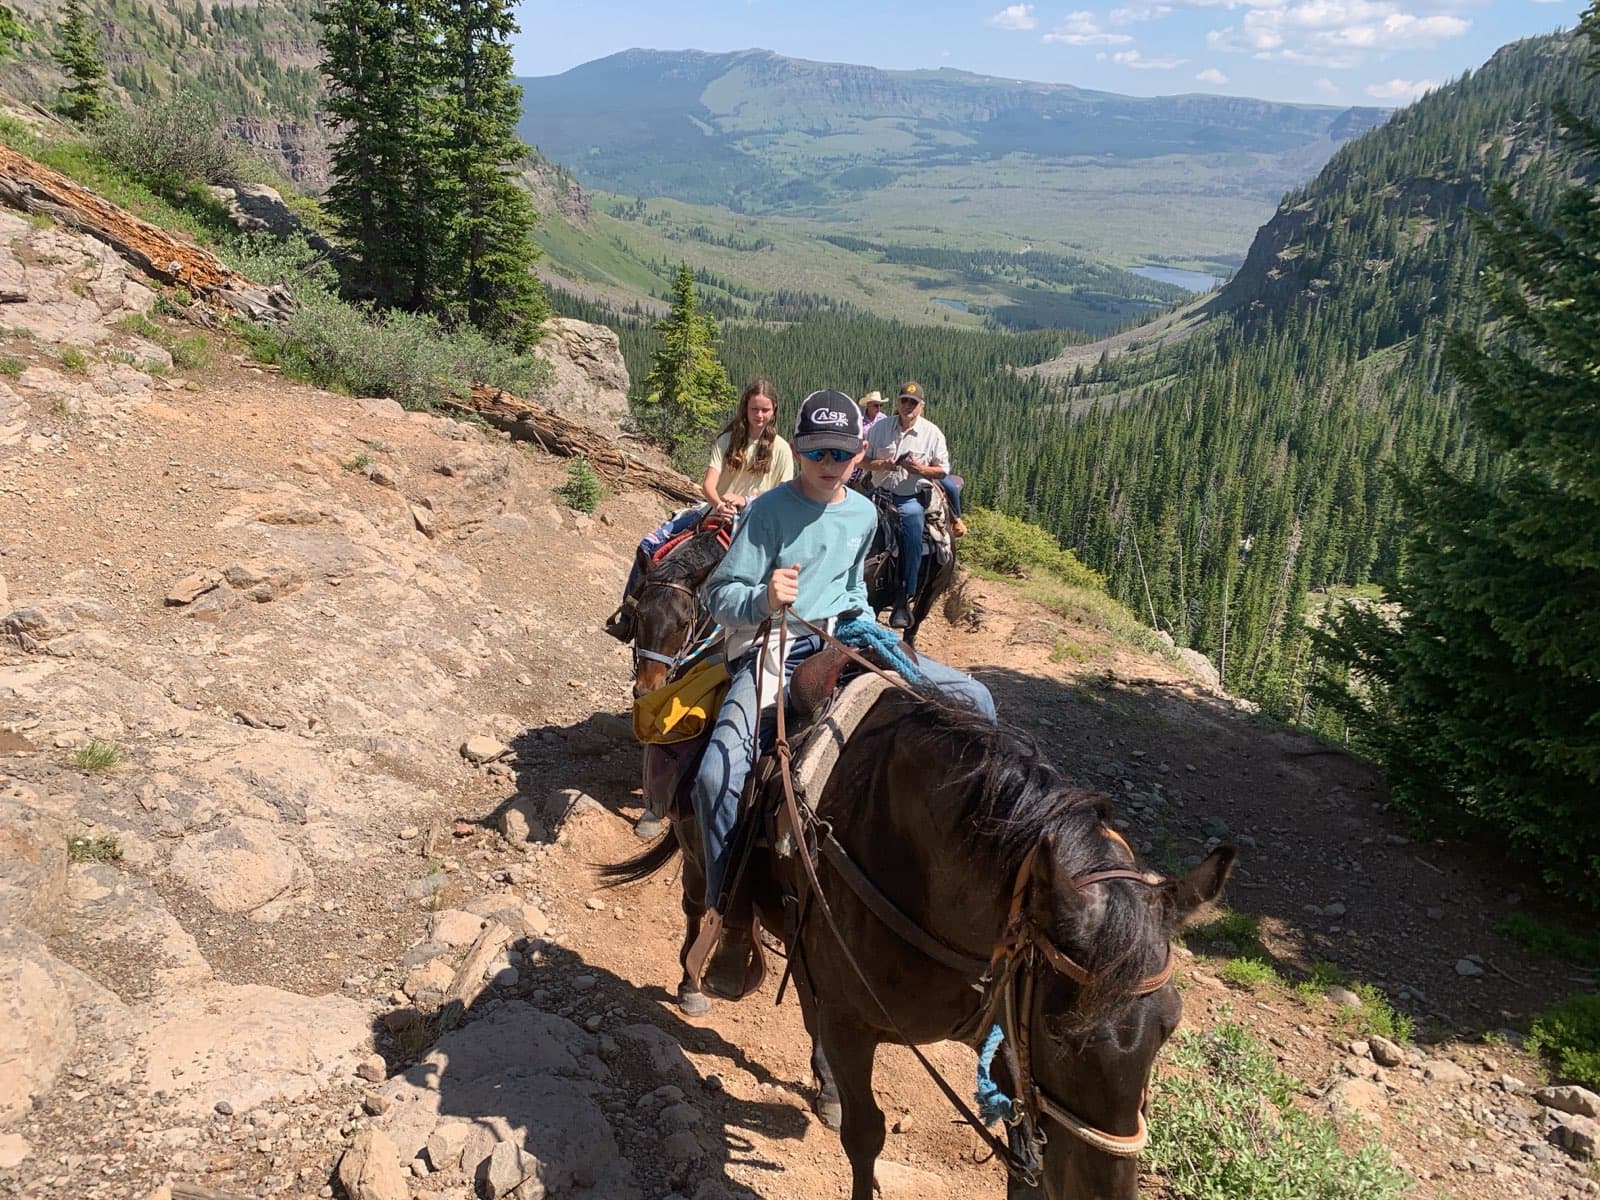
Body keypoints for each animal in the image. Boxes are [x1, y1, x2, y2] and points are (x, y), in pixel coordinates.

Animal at [604, 678, 1228, 1200]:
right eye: (1058, 1032)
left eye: (1170, 1026)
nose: (1102, 1191)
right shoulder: (854, 1025)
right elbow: (866, 1135)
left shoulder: (1008, 1039)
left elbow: (1023, 1168)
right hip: (698, 854)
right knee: (698, 907)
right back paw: (696, 984)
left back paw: (822, 1086)